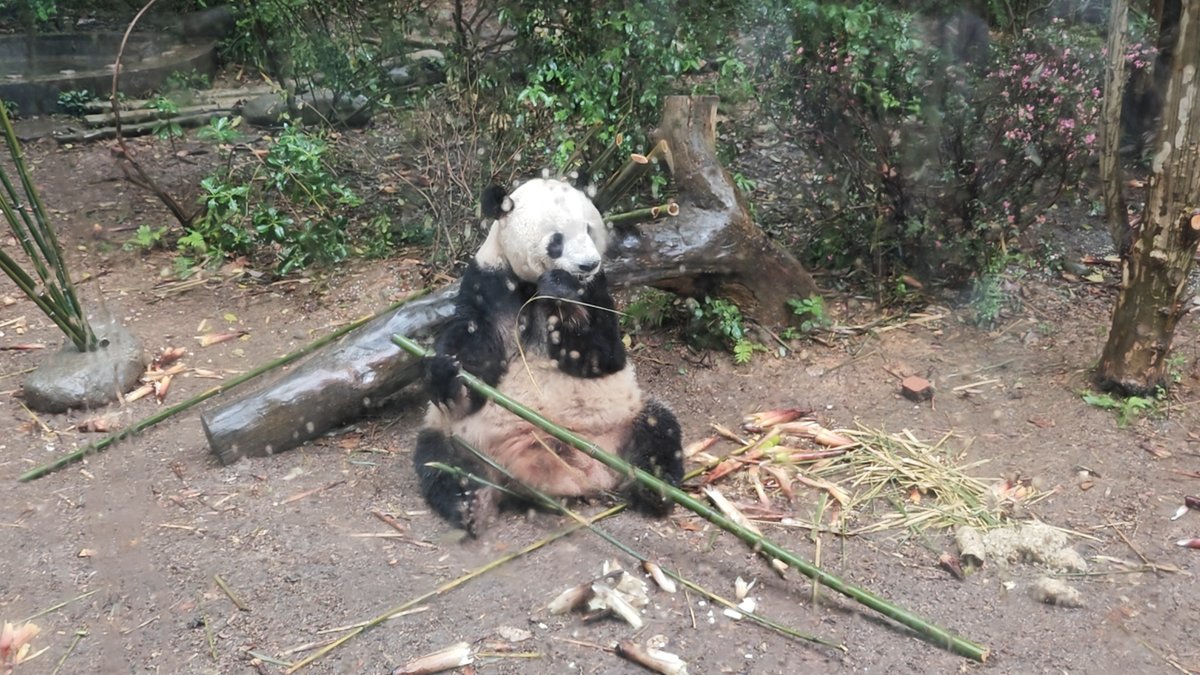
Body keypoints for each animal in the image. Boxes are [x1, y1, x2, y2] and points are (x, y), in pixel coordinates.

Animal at [414, 177, 684, 534]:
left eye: (589, 229)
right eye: (557, 240)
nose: (588, 264)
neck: (532, 283)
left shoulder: (596, 289)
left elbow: (604, 354)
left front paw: (562, 294)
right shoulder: (490, 280)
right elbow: (475, 341)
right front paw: (446, 373)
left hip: (625, 417)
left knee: (660, 429)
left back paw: (655, 490)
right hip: (458, 434)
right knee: (440, 460)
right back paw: (470, 504)